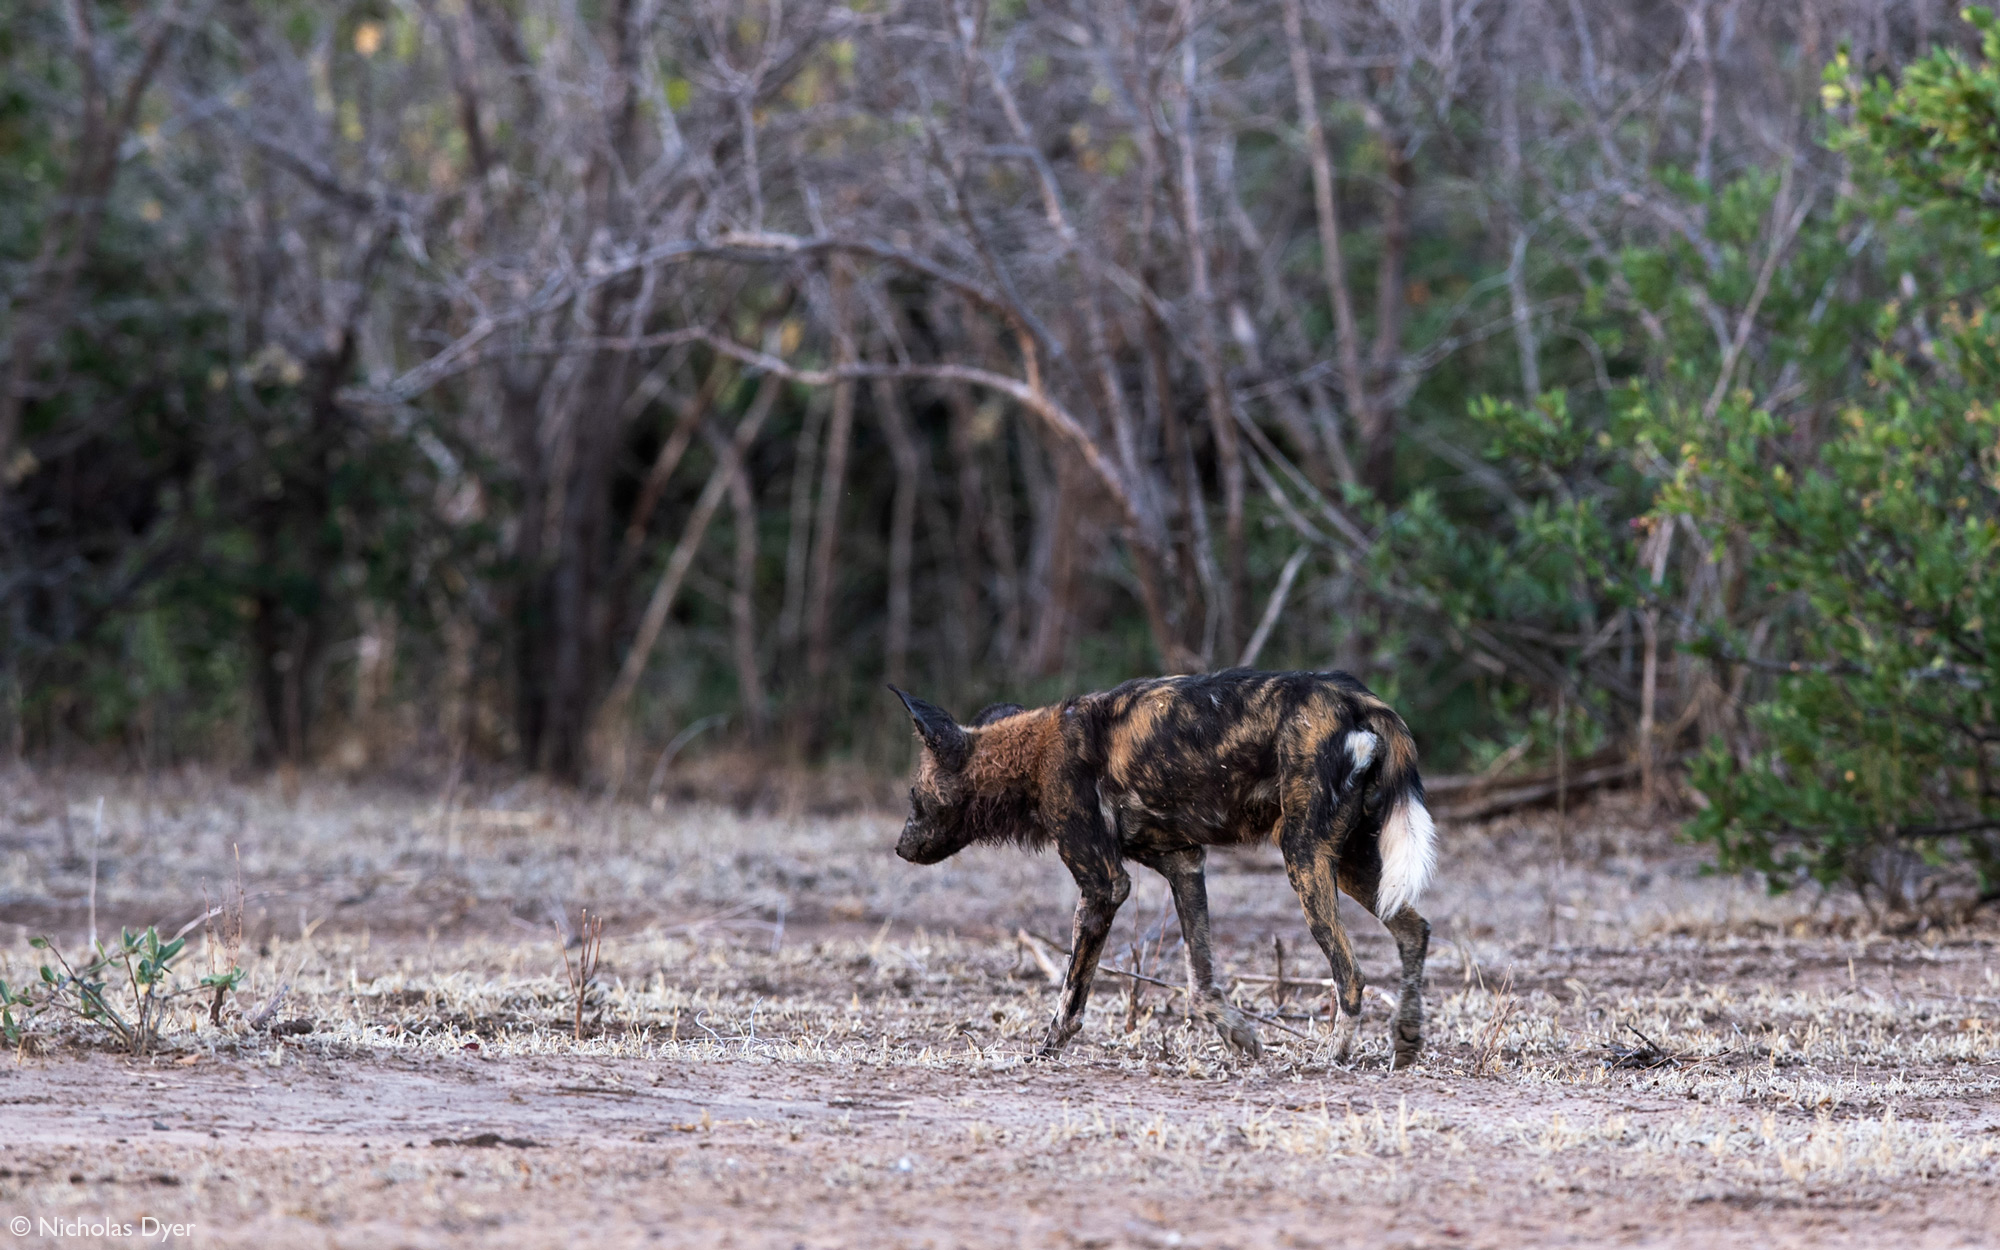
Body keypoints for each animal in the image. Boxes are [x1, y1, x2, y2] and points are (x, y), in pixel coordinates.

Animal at [892, 668, 1440, 1064]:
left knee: (1351, 973)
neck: (1033, 753)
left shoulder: (1104, 884)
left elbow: (1071, 994)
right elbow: (1201, 980)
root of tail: (1356, 698)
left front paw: (1046, 1051)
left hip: (1303, 860)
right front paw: (1239, 1038)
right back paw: (1406, 1039)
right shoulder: (1183, 864)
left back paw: (1333, 1057)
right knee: (1414, 929)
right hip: (1345, 864)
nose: (899, 848)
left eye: (915, 798)